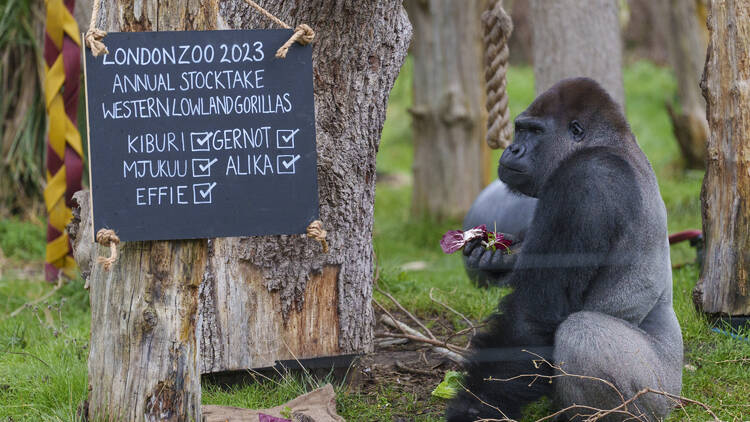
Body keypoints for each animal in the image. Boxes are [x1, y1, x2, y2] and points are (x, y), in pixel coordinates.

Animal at [446, 77, 688, 420]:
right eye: (519, 129)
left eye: (534, 132)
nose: (512, 148)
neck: (607, 143)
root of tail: (676, 392)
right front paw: (492, 258)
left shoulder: (587, 181)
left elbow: (533, 315)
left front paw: (475, 407)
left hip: (656, 392)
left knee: (581, 332)